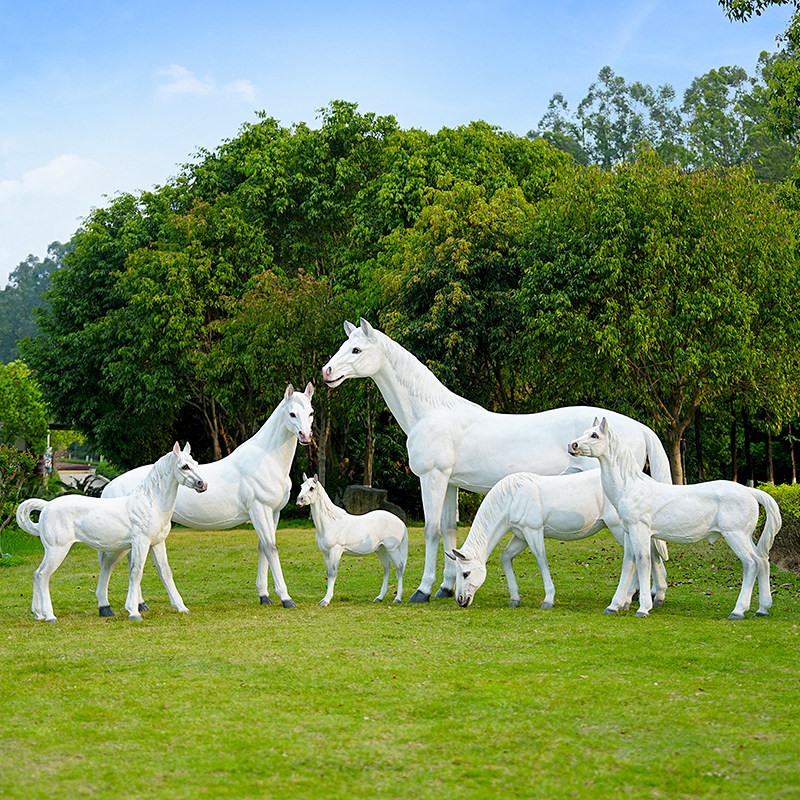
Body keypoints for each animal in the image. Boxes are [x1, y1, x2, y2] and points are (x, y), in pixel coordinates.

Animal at [16, 442, 207, 622]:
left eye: (196, 464)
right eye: (184, 466)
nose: (202, 484)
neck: (150, 503)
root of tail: (47, 506)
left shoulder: (157, 543)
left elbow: (165, 573)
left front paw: (181, 607)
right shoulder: (141, 542)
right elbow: (136, 572)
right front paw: (133, 612)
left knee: (36, 574)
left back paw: (39, 614)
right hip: (57, 550)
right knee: (43, 575)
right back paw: (50, 616)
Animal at [101, 383, 314, 611]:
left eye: (310, 412)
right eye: (292, 413)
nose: (305, 436)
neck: (265, 459)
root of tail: (110, 486)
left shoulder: (273, 513)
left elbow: (263, 549)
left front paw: (264, 596)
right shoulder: (260, 510)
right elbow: (271, 549)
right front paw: (286, 598)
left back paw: (140, 605)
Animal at [296, 473, 408, 606]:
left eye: (311, 488)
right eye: (301, 486)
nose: (299, 501)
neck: (330, 522)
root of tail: (400, 522)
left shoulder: (336, 550)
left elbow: (333, 573)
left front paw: (326, 600)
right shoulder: (325, 553)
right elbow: (328, 573)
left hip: (392, 549)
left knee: (399, 569)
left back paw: (398, 598)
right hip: (381, 549)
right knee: (387, 567)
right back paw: (379, 597)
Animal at [446, 470, 635, 609]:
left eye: (466, 573)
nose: (460, 600)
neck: (512, 498)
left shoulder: (533, 531)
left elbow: (541, 560)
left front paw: (548, 599)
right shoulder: (521, 536)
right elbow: (505, 557)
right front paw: (514, 598)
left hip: (618, 528)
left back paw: (621, 602)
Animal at [568, 418, 782, 620]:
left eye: (595, 435)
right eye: (585, 432)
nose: (573, 445)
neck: (631, 487)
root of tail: (749, 491)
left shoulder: (640, 530)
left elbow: (643, 561)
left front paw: (643, 608)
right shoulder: (629, 532)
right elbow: (629, 563)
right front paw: (614, 606)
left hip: (735, 536)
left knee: (751, 564)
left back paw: (738, 611)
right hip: (746, 537)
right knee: (763, 561)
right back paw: (762, 609)